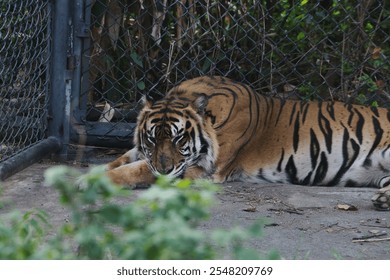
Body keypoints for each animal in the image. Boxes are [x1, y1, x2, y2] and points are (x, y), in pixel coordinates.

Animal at [105, 75, 390, 211]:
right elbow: (122, 161)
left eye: (179, 138)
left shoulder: (200, 168)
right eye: (152, 139)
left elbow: (135, 170)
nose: (164, 170)